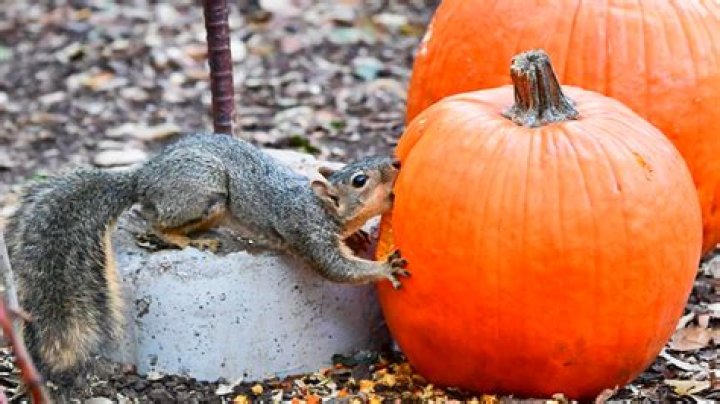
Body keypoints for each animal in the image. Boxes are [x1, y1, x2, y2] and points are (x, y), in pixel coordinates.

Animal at [5, 133, 407, 383]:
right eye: (360, 180)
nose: (396, 163)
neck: (318, 206)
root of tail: (142, 178)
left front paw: (358, 235)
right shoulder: (308, 234)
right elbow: (338, 270)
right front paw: (385, 267)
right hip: (205, 191)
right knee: (156, 219)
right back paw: (185, 240)